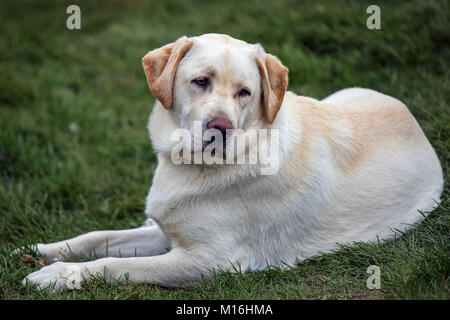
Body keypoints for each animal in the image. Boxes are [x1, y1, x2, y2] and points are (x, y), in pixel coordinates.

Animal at [18, 33, 442, 292]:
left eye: (244, 93)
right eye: (200, 81)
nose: (219, 127)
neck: (189, 167)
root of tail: (414, 121)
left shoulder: (210, 259)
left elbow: (115, 265)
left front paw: (57, 275)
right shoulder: (169, 233)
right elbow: (98, 238)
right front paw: (43, 249)